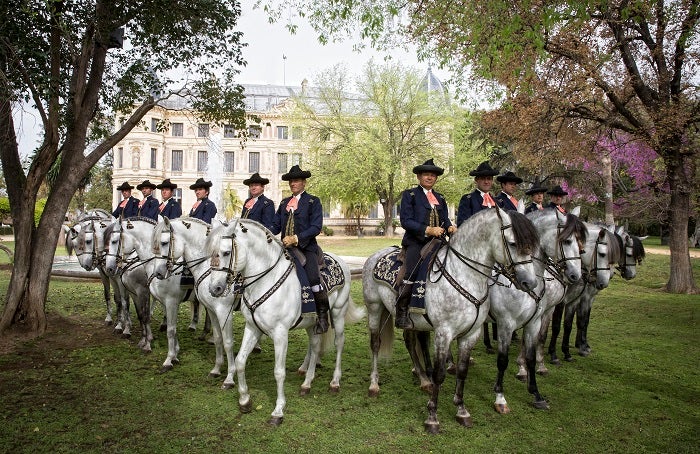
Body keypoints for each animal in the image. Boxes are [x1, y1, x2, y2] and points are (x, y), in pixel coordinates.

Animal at [204, 219, 364, 426]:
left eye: (225, 252)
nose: (214, 288)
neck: (264, 280)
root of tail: (341, 261)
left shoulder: (280, 334)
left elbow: (279, 372)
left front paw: (278, 411)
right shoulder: (252, 327)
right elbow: (240, 361)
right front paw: (245, 400)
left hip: (338, 313)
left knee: (339, 343)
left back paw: (335, 382)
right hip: (312, 323)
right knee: (315, 345)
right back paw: (307, 382)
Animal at [364, 207, 540, 434]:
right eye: (512, 243)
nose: (530, 283)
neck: (465, 275)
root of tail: (375, 256)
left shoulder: (470, 334)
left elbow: (463, 371)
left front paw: (462, 410)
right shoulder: (444, 332)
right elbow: (439, 374)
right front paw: (432, 417)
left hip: (411, 321)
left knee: (410, 342)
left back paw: (423, 380)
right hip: (374, 309)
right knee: (375, 344)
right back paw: (374, 385)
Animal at [486, 208, 592, 412]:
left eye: (581, 243)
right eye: (568, 241)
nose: (576, 275)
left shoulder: (534, 321)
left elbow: (531, 355)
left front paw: (536, 393)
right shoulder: (505, 324)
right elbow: (503, 361)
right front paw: (500, 398)